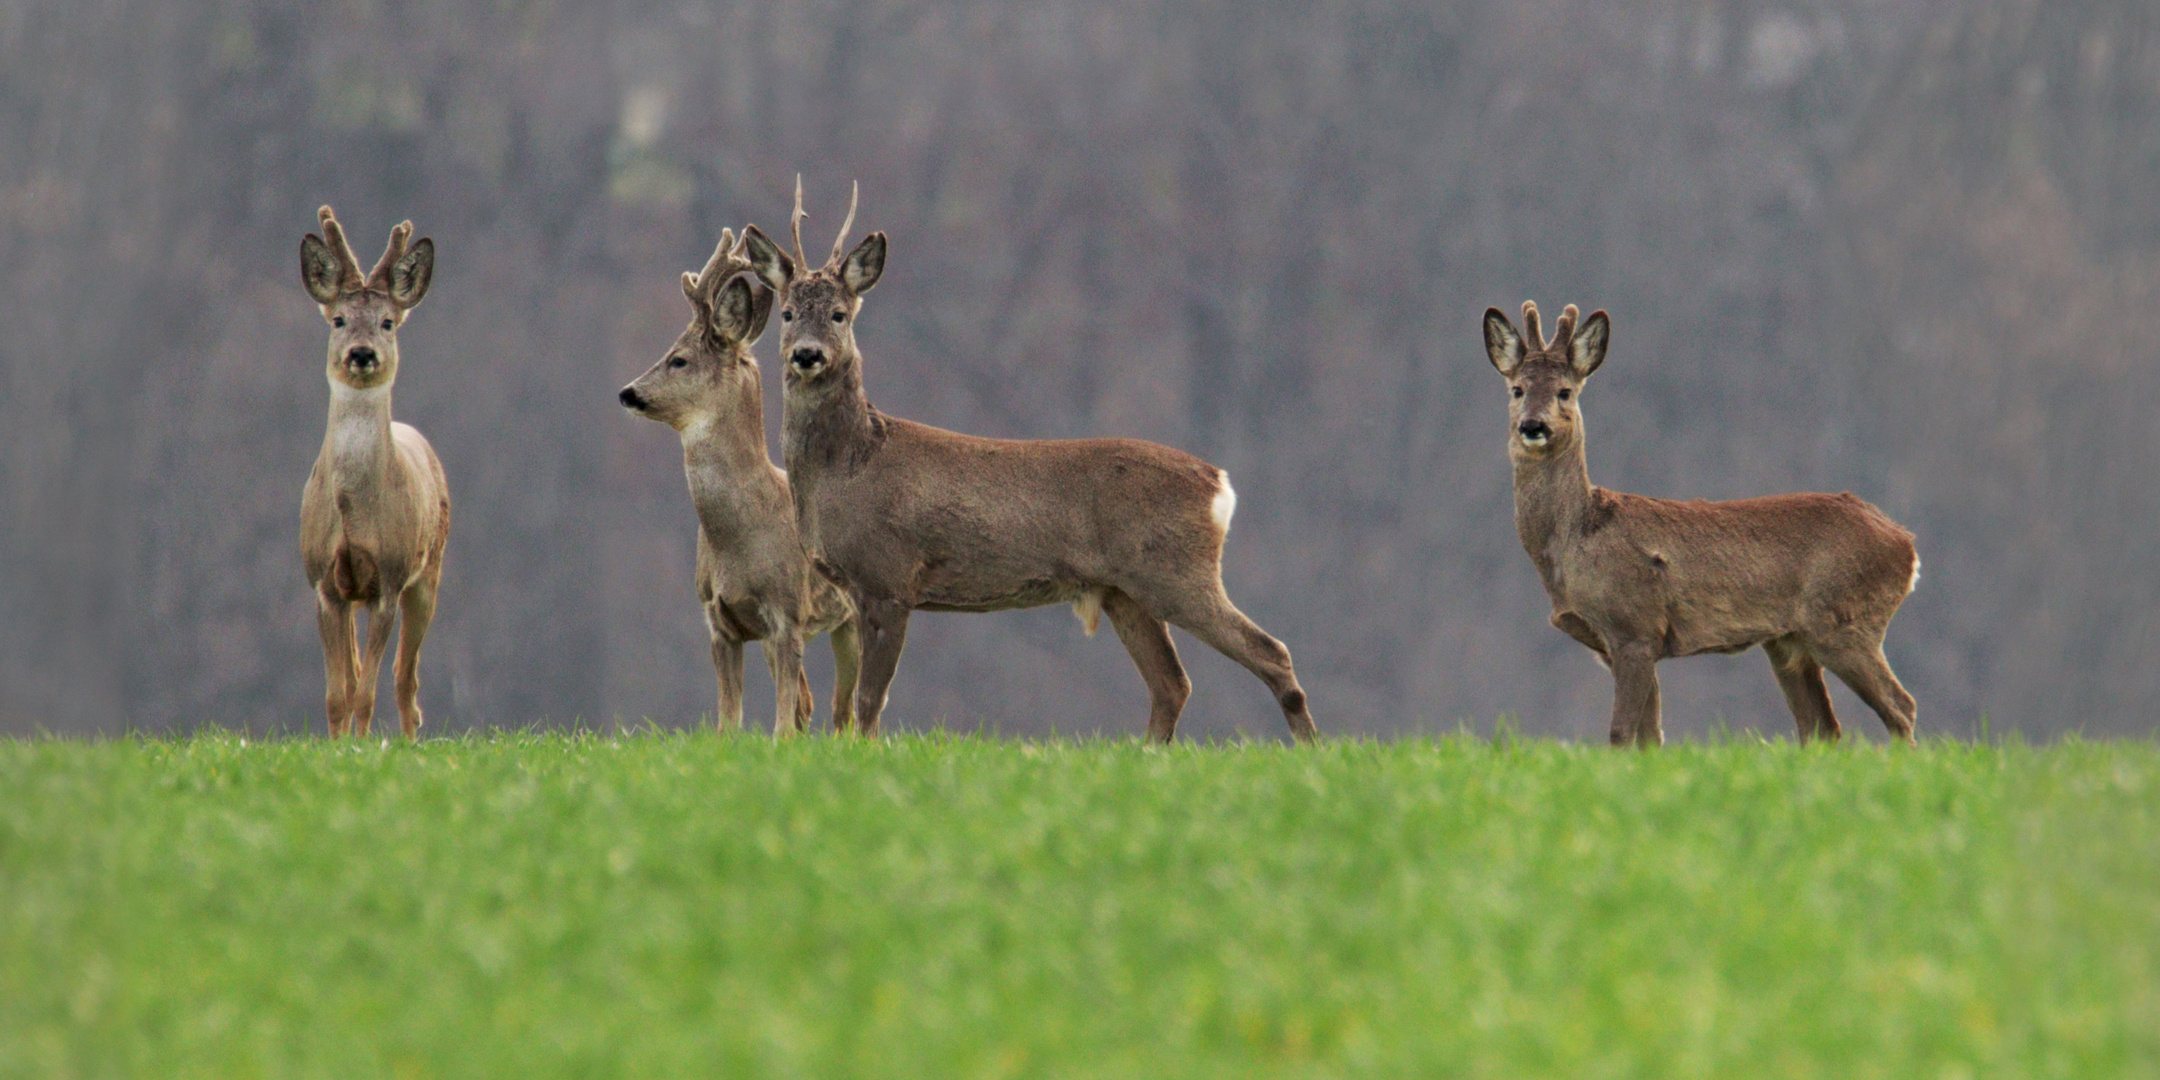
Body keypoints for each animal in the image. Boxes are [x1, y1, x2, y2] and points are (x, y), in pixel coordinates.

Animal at [300, 206, 447, 738]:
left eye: (387, 322)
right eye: (339, 319)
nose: (362, 353)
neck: (353, 509)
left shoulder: (389, 576)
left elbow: (366, 693)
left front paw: (362, 745)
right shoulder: (324, 581)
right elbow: (336, 694)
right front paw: (337, 744)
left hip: (429, 572)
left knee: (406, 677)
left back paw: (408, 739)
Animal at [743, 183, 1313, 743]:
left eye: (840, 314)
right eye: (788, 313)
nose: (808, 354)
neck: (849, 466)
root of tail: (1219, 484)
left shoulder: (889, 577)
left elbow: (868, 701)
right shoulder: (865, 589)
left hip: (1177, 570)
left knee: (1270, 652)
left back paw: (1310, 748)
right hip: (1125, 591)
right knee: (1172, 684)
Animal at [1486, 300, 1926, 747]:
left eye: (1565, 391)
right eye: (1517, 389)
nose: (1533, 426)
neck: (1573, 542)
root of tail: (1906, 546)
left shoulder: (1635, 628)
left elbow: (1621, 733)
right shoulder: (1621, 646)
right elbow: (1651, 737)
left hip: (1843, 621)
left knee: (1900, 706)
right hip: (1790, 642)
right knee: (1822, 727)